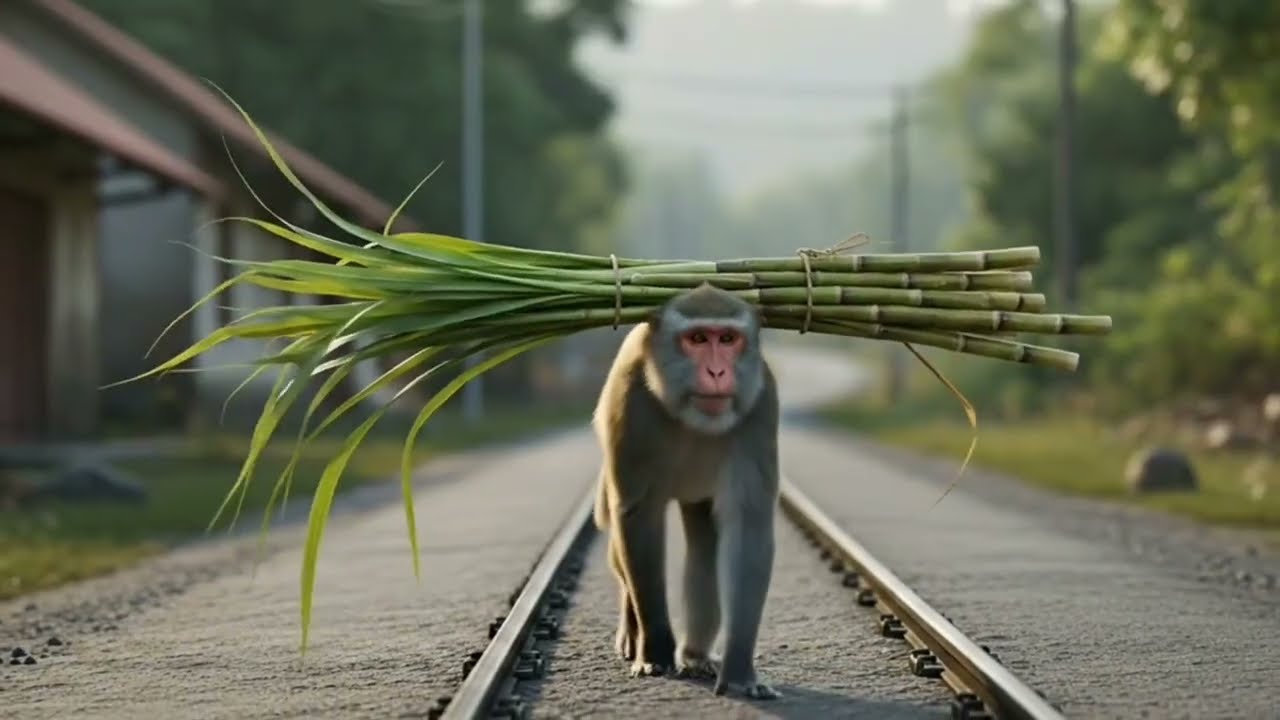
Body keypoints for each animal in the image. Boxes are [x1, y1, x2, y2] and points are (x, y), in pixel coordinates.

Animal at [591, 282, 781, 700]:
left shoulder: (761, 403)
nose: (717, 371)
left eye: (727, 339)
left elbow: (748, 528)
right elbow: (638, 516)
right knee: (623, 553)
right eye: (697, 339)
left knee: (704, 545)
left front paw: (739, 670)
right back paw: (633, 627)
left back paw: (695, 656)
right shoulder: (632, 399)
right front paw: (655, 651)